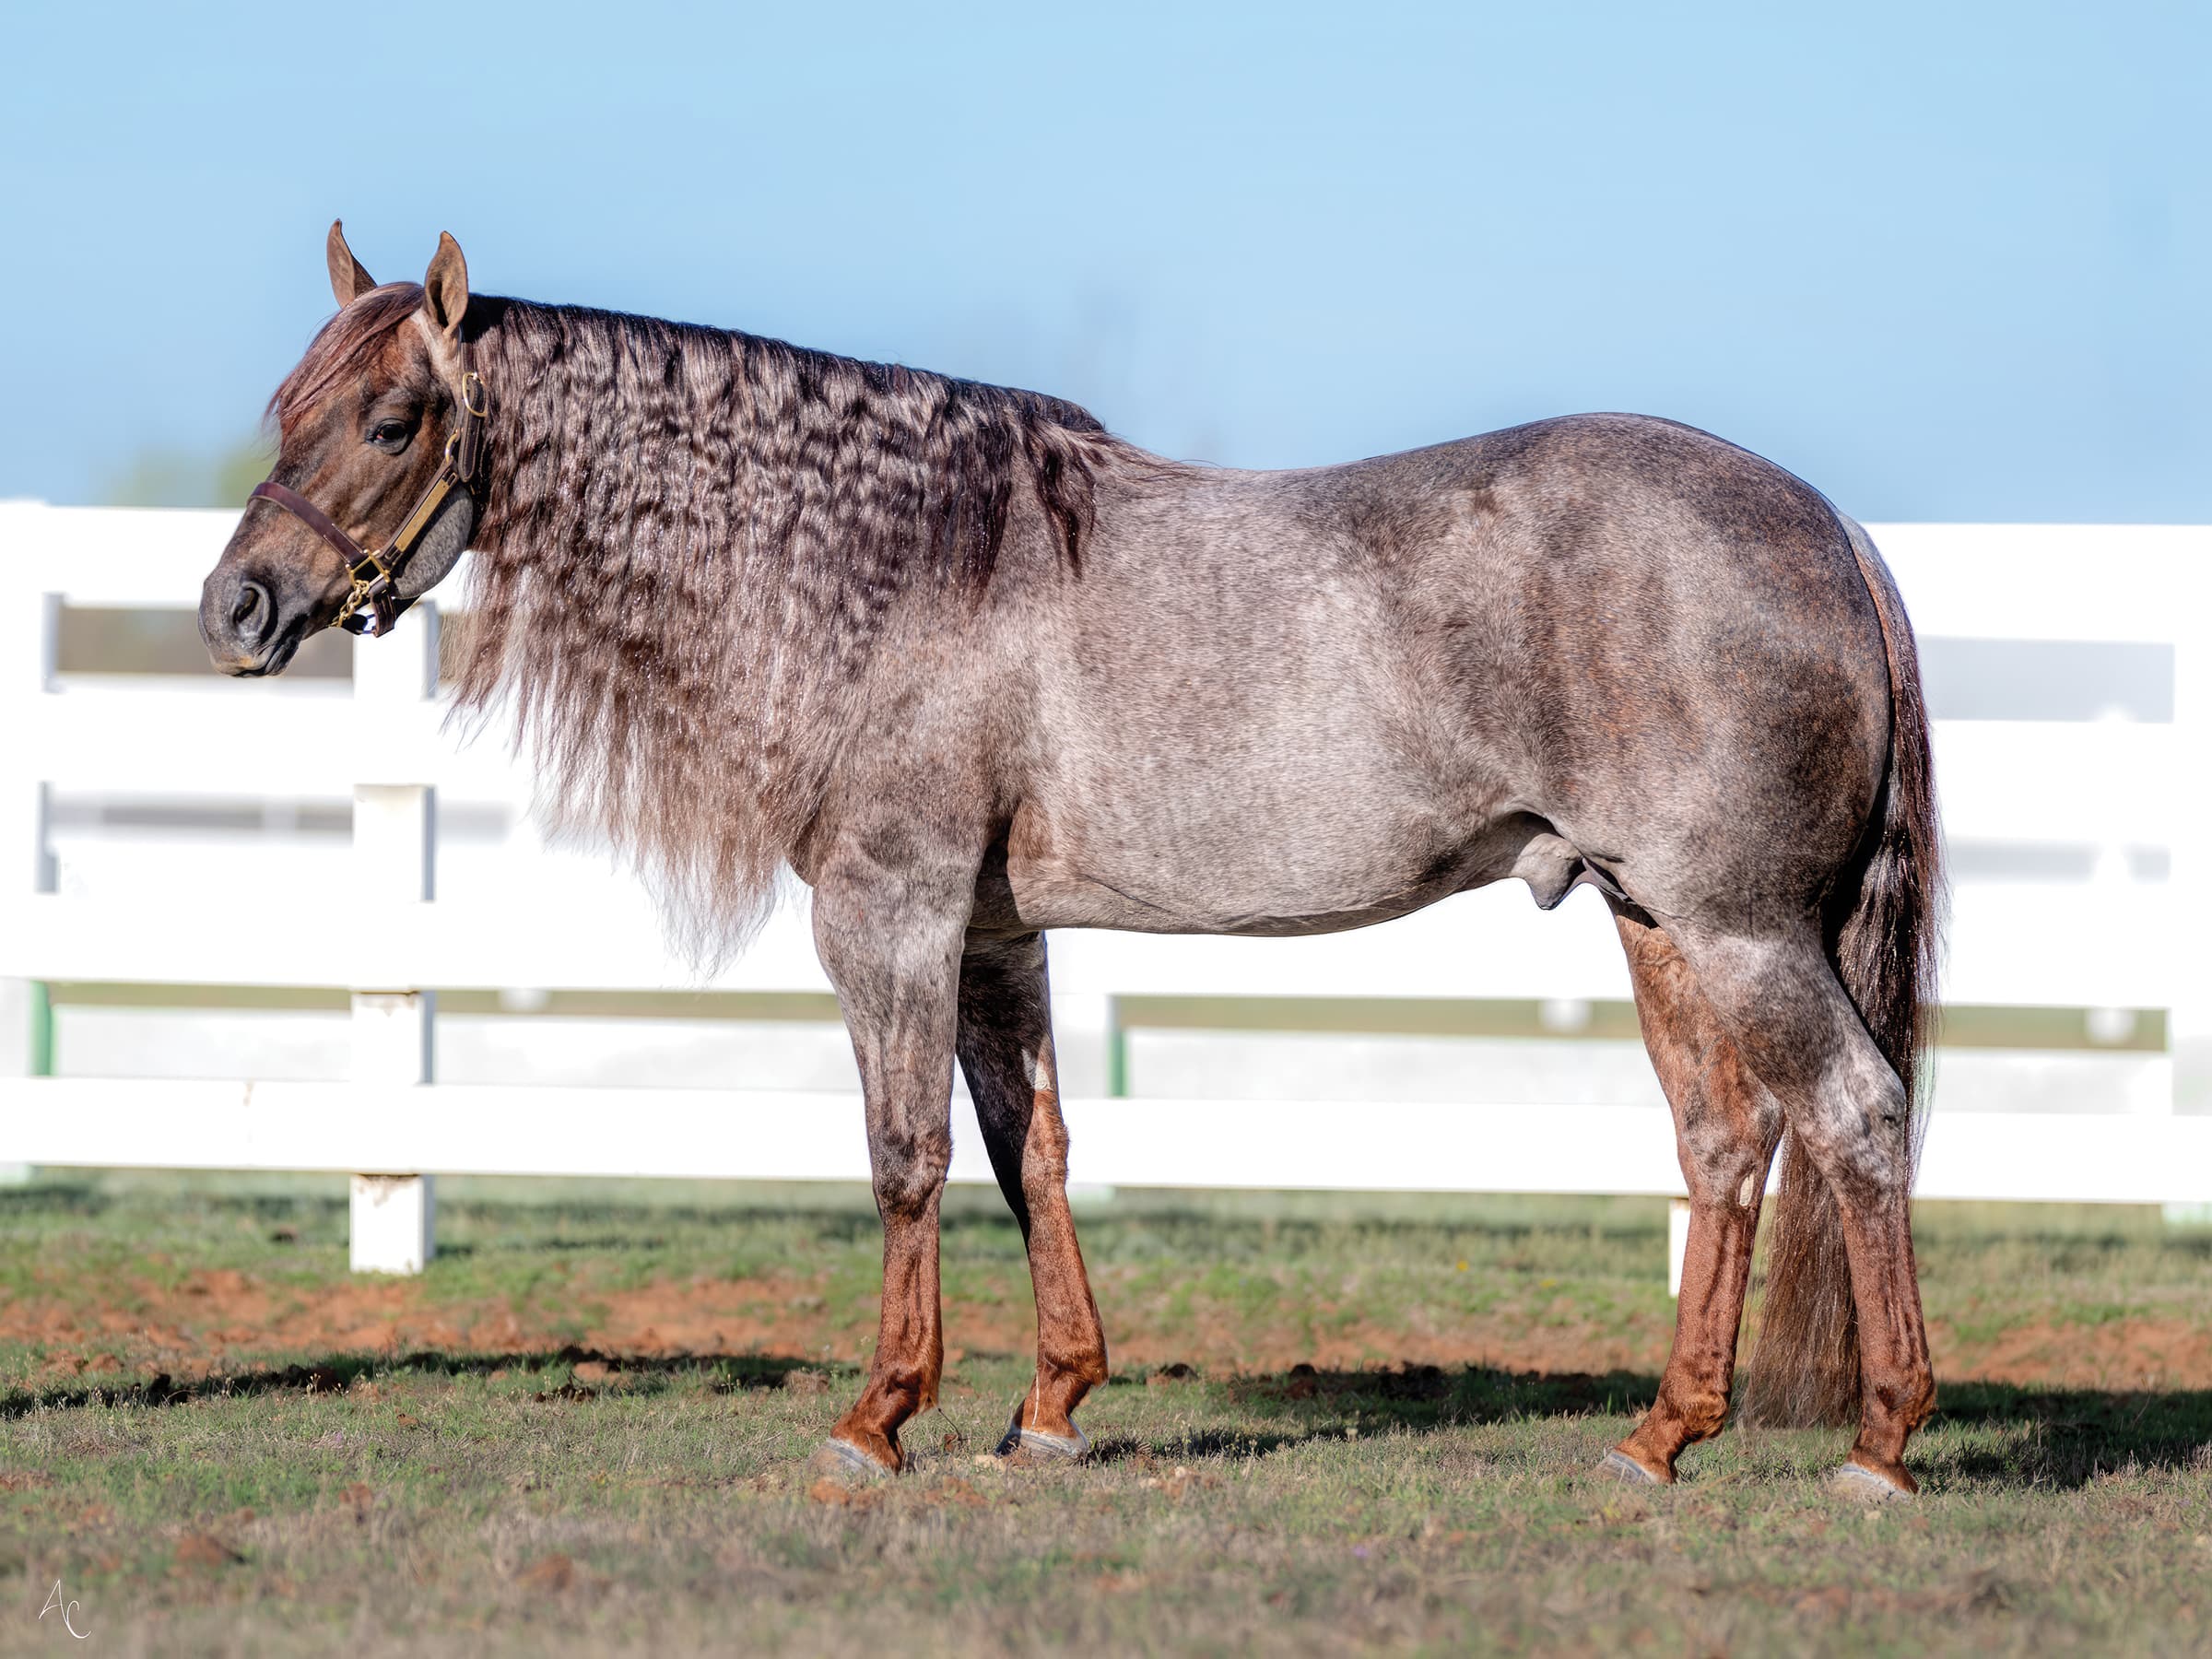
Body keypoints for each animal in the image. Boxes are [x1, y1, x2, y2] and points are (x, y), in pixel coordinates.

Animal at [199, 225, 1942, 1497]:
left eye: (393, 420)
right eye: (286, 408)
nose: (237, 607)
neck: (895, 573)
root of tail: (1830, 528)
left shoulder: (889, 916)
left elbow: (904, 1157)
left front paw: (877, 1418)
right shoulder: (991, 934)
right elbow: (1025, 1149)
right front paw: (1046, 1409)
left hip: (1741, 929)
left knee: (1855, 1119)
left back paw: (1879, 1442)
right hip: (1657, 921)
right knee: (1726, 1145)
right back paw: (1662, 1435)